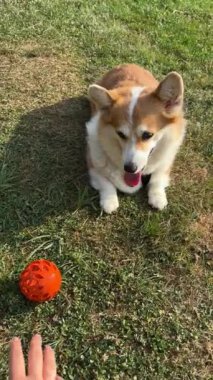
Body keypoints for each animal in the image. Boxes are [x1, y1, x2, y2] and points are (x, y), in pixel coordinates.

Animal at [85, 65, 186, 214]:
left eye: (147, 135)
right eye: (120, 134)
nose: (129, 168)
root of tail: (127, 64)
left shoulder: (166, 161)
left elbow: (157, 178)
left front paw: (158, 198)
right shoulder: (93, 166)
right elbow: (106, 182)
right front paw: (109, 201)